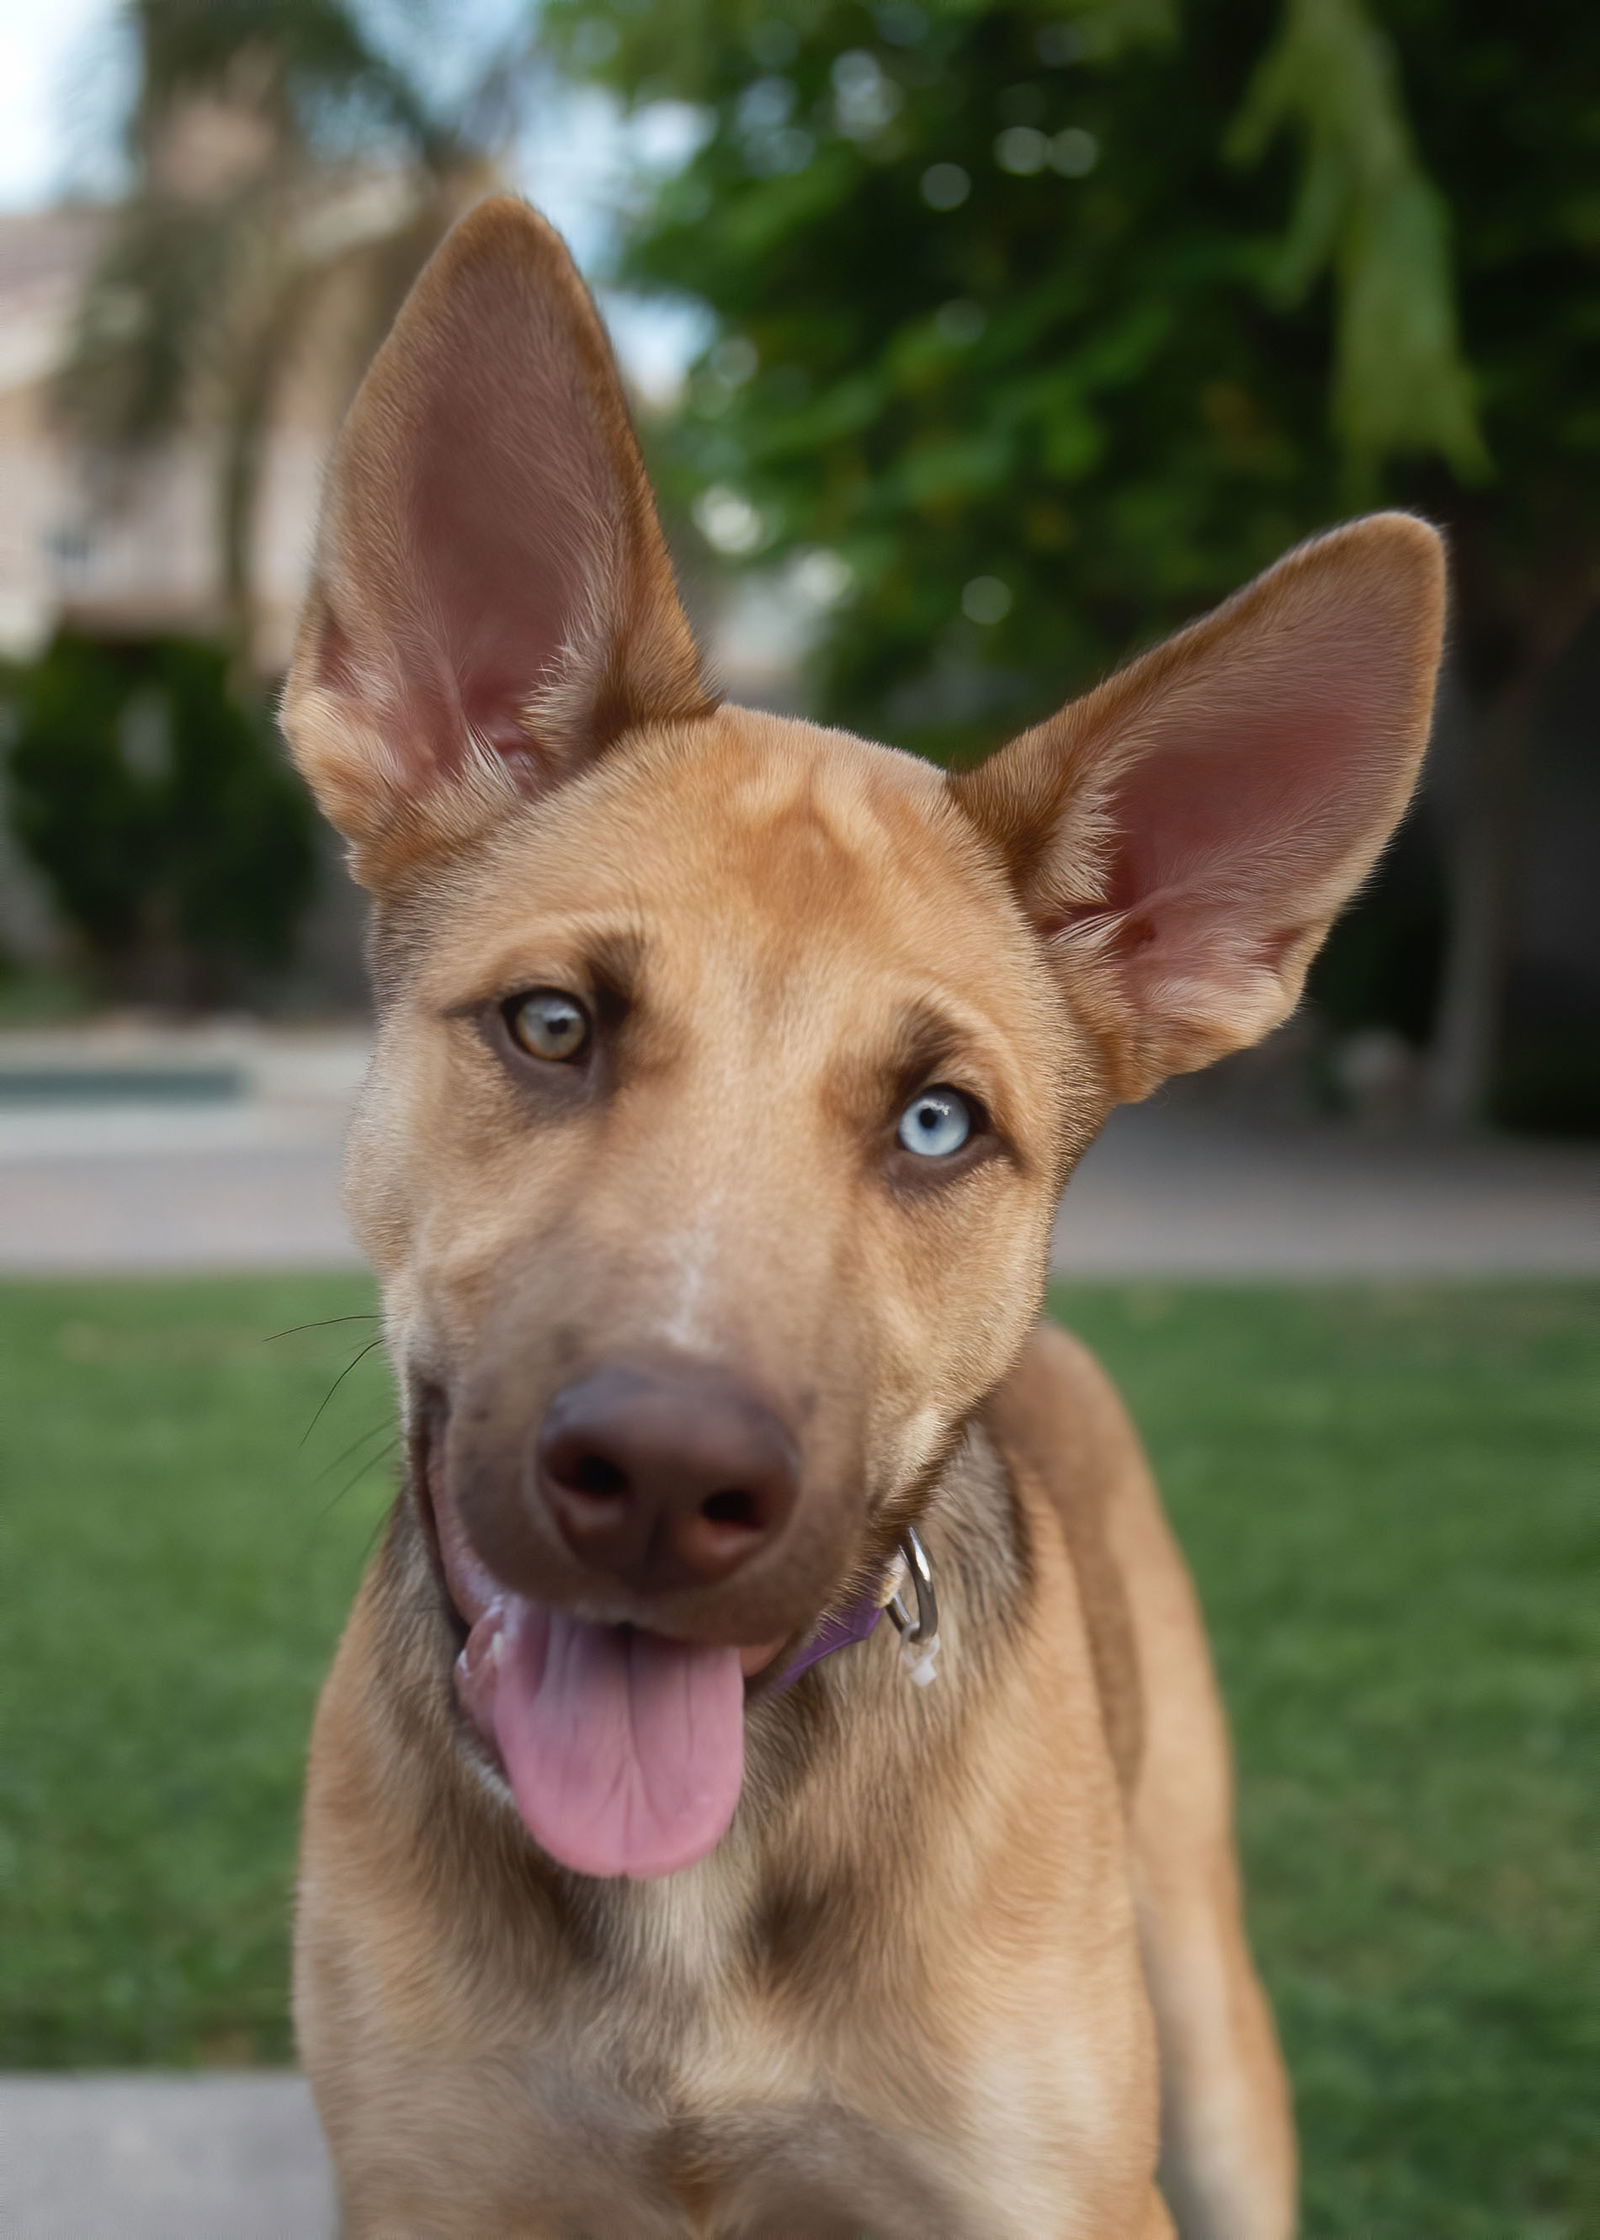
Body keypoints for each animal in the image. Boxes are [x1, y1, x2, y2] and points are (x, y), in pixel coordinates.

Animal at [280, 197, 1443, 2240]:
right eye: (555, 1024)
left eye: (935, 1124)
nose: (666, 1483)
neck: (693, 1892)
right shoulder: (425, 2187)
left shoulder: (1064, 2194)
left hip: (1208, 2013)